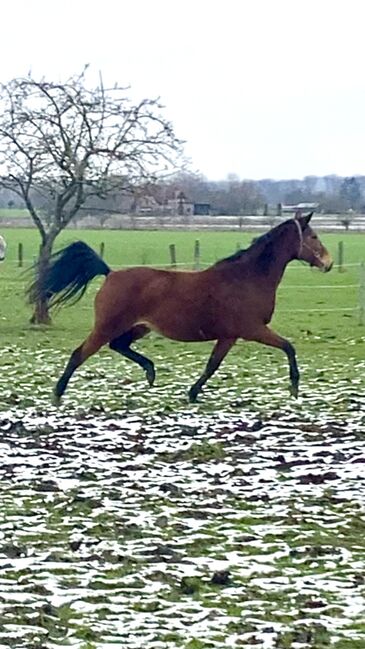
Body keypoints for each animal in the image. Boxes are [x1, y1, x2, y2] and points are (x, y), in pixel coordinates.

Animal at [27, 215, 332, 402]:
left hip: (138, 327)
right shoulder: (251, 329)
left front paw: (192, 393)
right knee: (80, 354)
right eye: (314, 237)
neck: (247, 278)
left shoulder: (230, 335)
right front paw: (294, 388)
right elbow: (288, 347)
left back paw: (150, 372)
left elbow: (212, 365)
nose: (328, 263)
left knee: (118, 345)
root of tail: (110, 273)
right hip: (107, 326)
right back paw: (58, 394)